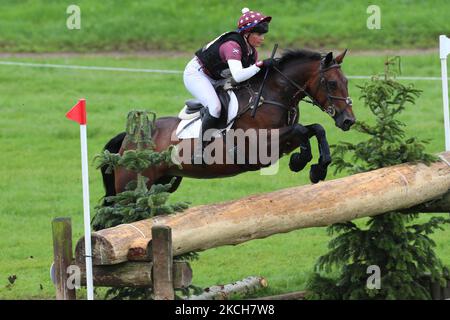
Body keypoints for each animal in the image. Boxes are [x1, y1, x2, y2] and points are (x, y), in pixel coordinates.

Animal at [101, 48, 356, 199]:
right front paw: (301, 161)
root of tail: (127, 139)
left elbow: (315, 129)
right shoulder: (257, 145)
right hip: (131, 187)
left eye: (346, 81)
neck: (272, 95)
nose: (348, 120)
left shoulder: (282, 140)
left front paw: (317, 168)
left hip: (164, 182)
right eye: (332, 84)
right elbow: (302, 129)